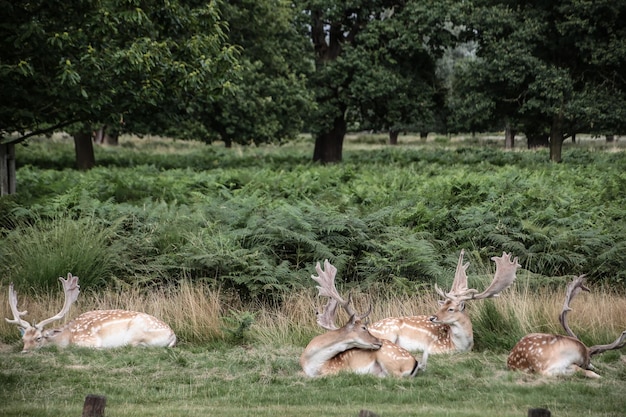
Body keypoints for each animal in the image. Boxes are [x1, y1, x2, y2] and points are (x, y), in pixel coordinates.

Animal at [5, 272, 176, 352]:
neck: (67, 336)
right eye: (23, 339)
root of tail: (173, 334)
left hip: (136, 332)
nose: (24, 351)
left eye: (39, 338)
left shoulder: (87, 340)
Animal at [368, 250, 520, 354]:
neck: (460, 345)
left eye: (451, 308)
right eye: (442, 306)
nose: (432, 317)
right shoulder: (436, 347)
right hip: (388, 331)